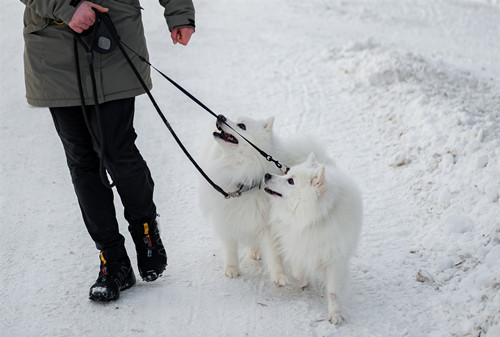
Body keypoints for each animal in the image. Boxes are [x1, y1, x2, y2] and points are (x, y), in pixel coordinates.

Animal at [197, 114, 288, 284]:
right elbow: (230, 247)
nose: (220, 116)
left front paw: (280, 276)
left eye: (242, 126)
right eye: (232, 118)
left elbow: (274, 254)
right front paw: (232, 269)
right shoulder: (227, 218)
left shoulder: (267, 223)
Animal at [264, 152, 362, 322]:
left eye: (291, 181)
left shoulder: (335, 259)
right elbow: (298, 272)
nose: (267, 175)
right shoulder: (299, 245)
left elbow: (333, 291)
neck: (314, 218)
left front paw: (335, 313)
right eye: (287, 173)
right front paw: (300, 282)